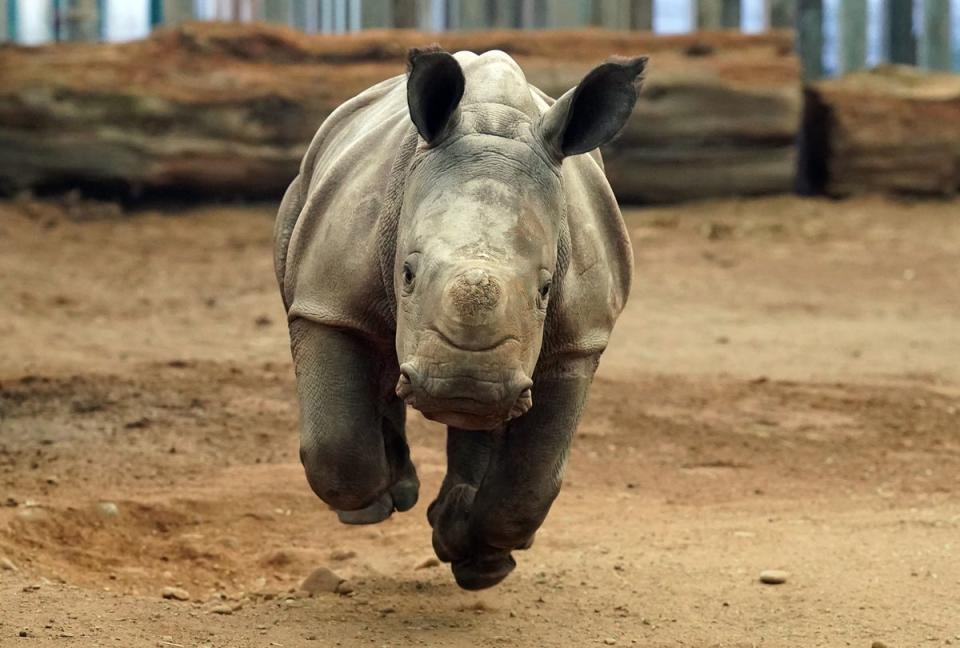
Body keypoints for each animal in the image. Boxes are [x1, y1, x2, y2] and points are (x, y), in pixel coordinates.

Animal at [274, 46, 640, 592]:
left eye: (546, 289)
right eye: (407, 273)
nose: (464, 388)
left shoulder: (578, 339)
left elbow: (530, 484)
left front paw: (475, 554)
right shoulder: (327, 303)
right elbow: (336, 448)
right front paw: (376, 505)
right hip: (307, 194)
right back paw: (394, 496)